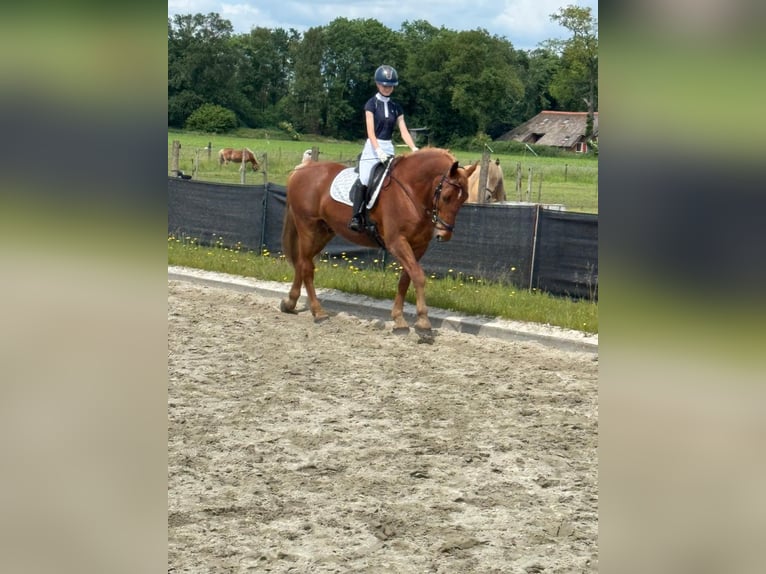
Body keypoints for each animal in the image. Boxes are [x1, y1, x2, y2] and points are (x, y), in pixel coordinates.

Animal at [280, 148, 478, 332]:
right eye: (446, 196)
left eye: (464, 198)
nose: (444, 235)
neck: (410, 192)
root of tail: (301, 170)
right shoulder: (396, 242)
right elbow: (418, 275)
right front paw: (423, 321)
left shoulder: (419, 246)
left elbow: (406, 278)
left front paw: (398, 318)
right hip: (308, 227)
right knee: (306, 267)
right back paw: (318, 312)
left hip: (324, 231)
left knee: (302, 262)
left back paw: (290, 302)